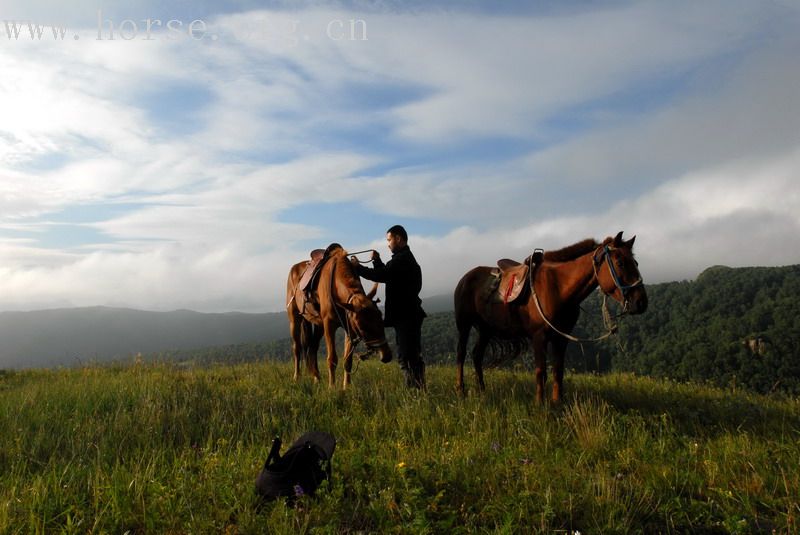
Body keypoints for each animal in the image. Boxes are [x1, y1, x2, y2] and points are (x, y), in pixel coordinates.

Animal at [286, 244, 392, 390]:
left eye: (381, 320)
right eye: (363, 328)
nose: (387, 355)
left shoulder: (349, 327)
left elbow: (347, 360)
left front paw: (346, 387)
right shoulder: (330, 324)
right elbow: (332, 359)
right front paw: (332, 387)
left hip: (318, 325)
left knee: (312, 348)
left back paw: (317, 378)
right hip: (294, 319)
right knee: (297, 348)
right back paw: (297, 377)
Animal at [454, 232, 648, 404]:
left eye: (636, 263)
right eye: (621, 263)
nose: (641, 302)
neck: (558, 287)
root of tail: (465, 278)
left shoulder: (561, 338)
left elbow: (558, 370)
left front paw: (557, 402)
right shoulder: (539, 337)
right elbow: (541, 372)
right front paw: (540, 404)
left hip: (486, 330)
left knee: (477, 355)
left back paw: (482, 390)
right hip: (464, 325)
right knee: (461, 354)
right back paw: (461, 390)